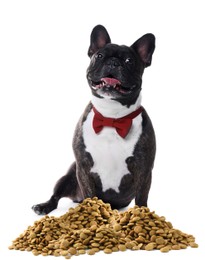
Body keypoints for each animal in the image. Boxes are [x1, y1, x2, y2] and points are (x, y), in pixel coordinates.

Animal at [32, 25, 156, 214]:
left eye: (129, 61)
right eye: (99, 56)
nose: (113, 62)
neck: (112, 117)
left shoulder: (144, 170)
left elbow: (142, 197)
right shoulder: (83, 167)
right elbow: (89, 194)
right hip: (68, 176)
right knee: (56, 196)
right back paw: (44, 206)